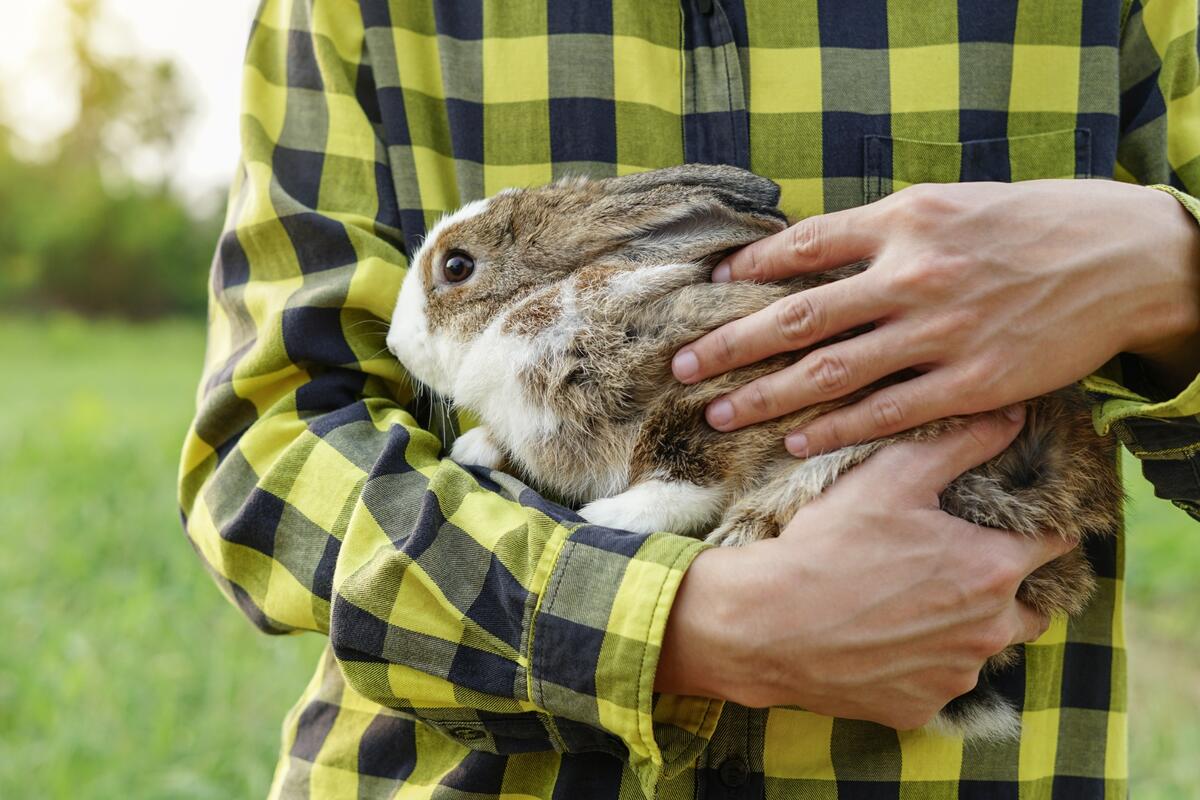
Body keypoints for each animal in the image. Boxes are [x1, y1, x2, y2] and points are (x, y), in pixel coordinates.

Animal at [384, 164, 1123, 743]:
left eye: (457, 267)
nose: (393, 343)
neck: (538, 305)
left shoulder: (713, 398)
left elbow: (682, 477)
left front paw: (608, 516)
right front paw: (480, 445)